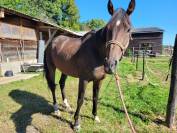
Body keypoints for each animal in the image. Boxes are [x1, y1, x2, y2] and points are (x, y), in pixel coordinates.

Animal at [44, 0, 136, 129]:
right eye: (108, 28)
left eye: (128, 29)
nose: (110, 65)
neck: (96, 52)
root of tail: (52, 41)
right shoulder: (84, 80)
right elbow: (80, 99)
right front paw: (76, 123)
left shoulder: (99, 80)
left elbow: (95, 97)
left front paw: (95, 116)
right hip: (52, 67)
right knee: (53, 86)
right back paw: (56, 109)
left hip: (65, 70)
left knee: (62, 84)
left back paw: (66, 105)